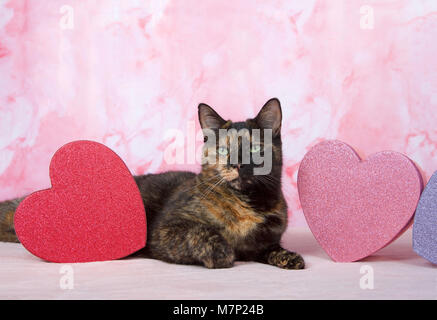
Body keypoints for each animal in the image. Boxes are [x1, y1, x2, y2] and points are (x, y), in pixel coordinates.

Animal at [0, 99, 304, 268]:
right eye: (222, 149)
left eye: (255, 149)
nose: (237, 164)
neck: (248, 205)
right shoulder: (166, 229)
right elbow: (201, 232)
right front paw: (220, 251)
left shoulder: (264, 241)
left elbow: (271, 248)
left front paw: (289, 256)